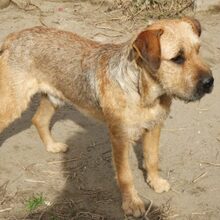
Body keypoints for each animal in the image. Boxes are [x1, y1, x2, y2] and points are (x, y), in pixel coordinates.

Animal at [0, 17, 213, 217]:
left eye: (198, 50)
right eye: (177, 58)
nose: (210, 82)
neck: (143, 91)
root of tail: (13, 36)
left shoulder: (154, 127)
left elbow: (152, 159)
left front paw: (156, 182)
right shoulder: (120, 137)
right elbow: (125, 175)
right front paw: (132, 204)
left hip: (53, 97)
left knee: (39, 119)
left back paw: (53, 146)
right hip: (13, 102)